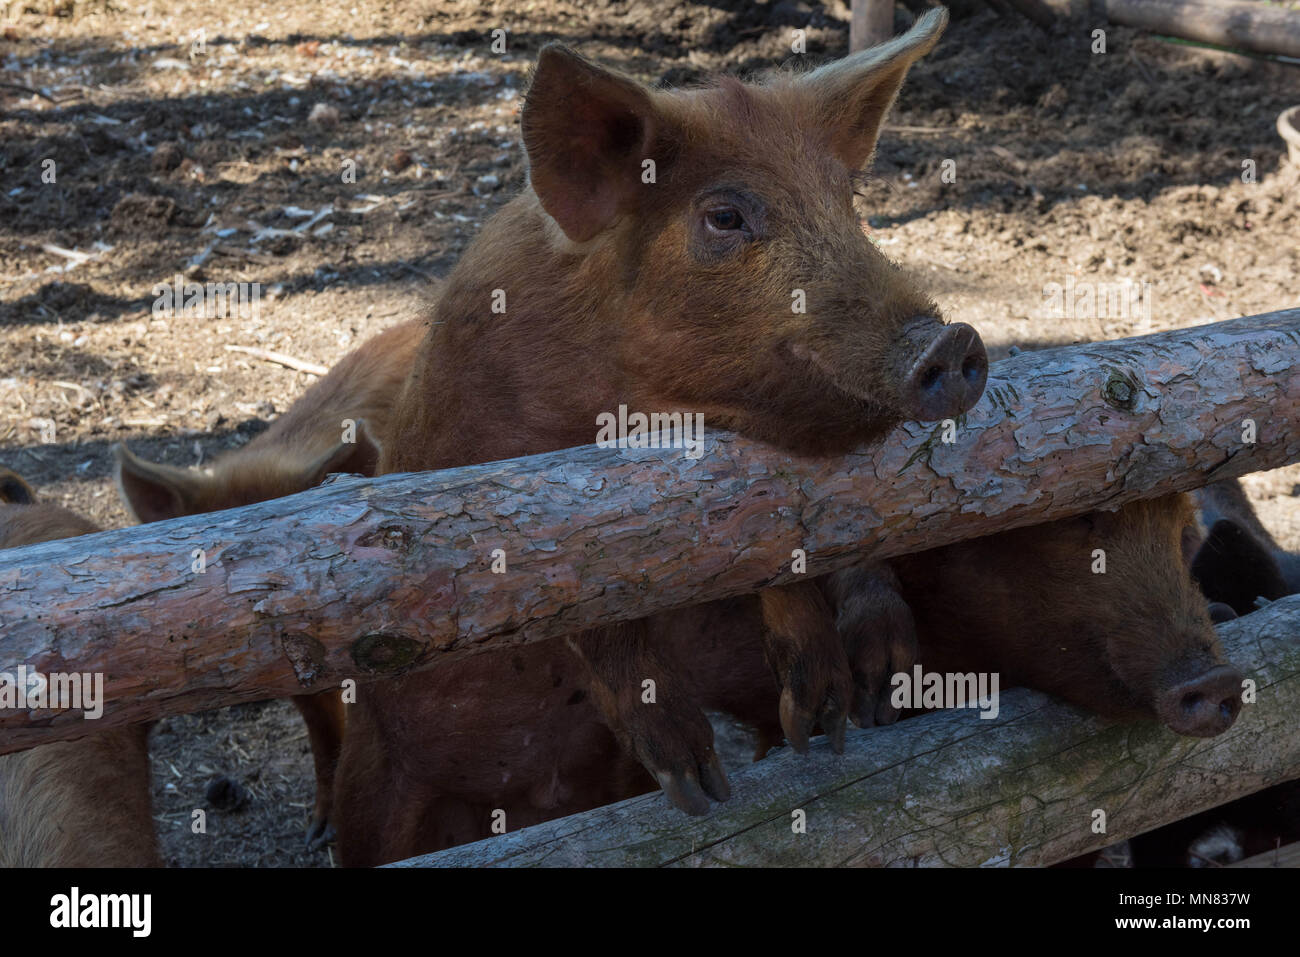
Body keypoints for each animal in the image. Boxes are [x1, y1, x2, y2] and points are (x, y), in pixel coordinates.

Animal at [340, 7, 987, 858]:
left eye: (848, 202)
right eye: (725, 216)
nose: (953, 341)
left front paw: (843, 714)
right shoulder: (499, 476)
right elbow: (581, 605)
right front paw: (701, 788)